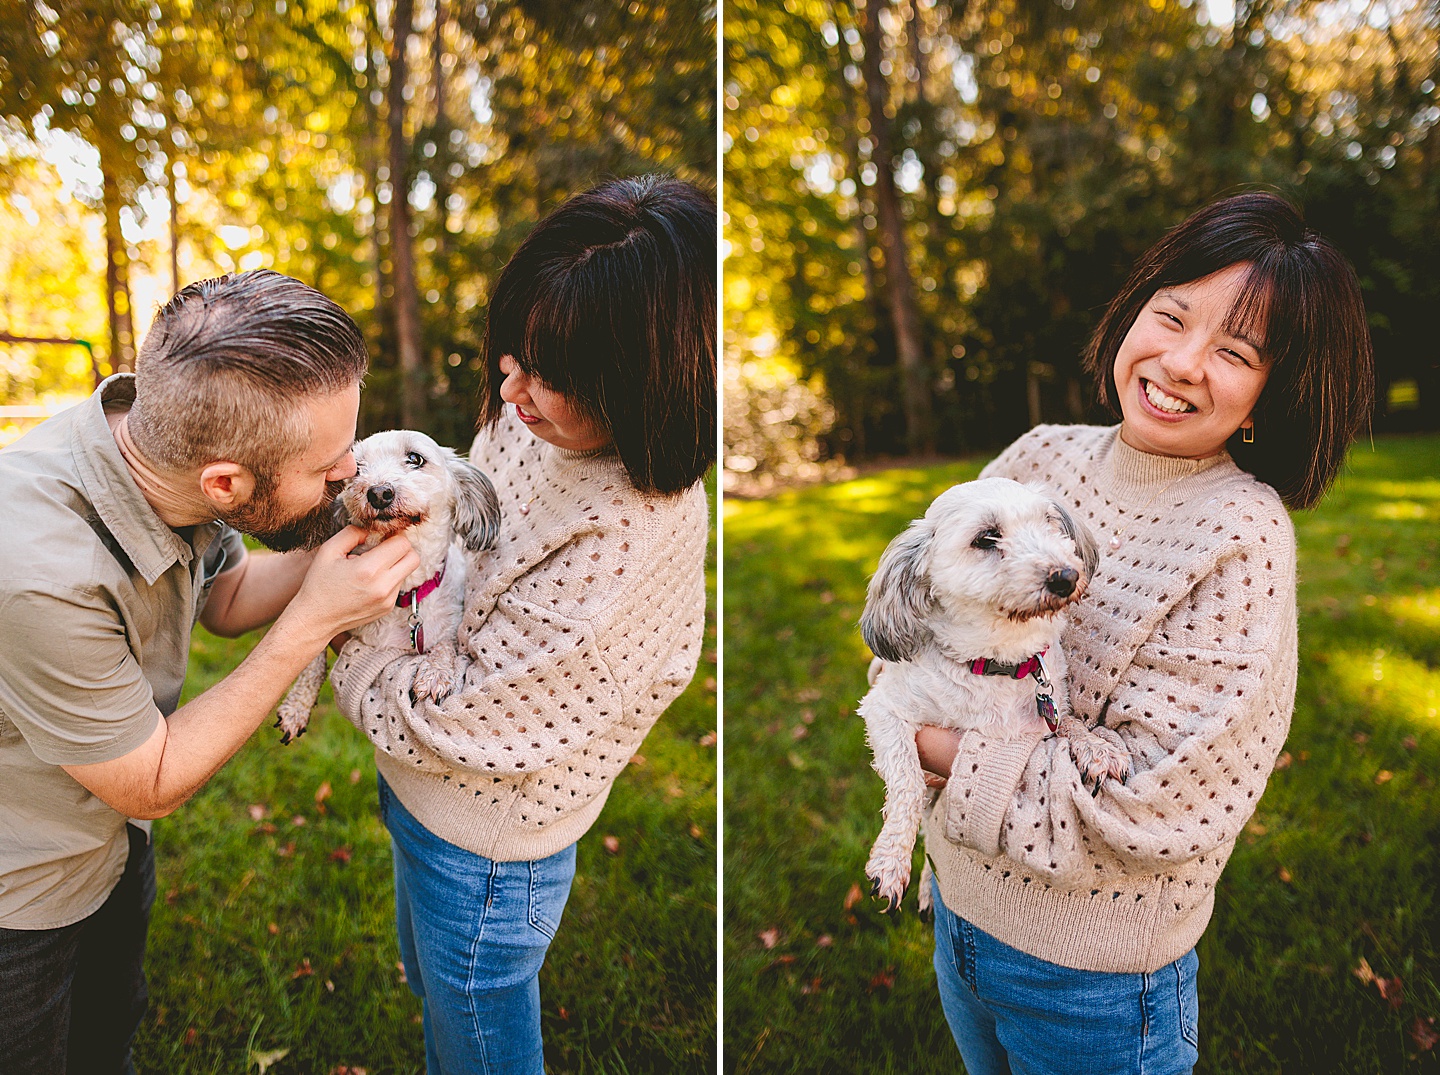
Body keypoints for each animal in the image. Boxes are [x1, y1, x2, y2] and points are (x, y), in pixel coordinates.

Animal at [273, 425, 501, 742]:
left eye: (415, 458)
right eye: (357, 469)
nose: (379, 492)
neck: (405, 591)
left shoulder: (446, 629)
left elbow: (446, 646)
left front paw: (435, 673)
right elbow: (311, 657)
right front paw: (297, 705)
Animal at [858, 477, 1128, 909]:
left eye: (1049, 522)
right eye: (986, 538)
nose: (1066, 576)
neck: (998, 662)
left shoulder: (1049, 714)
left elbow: (1070, 724)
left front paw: (1097, 747)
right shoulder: (884, 709)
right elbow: (907, 780)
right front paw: (891, 859)